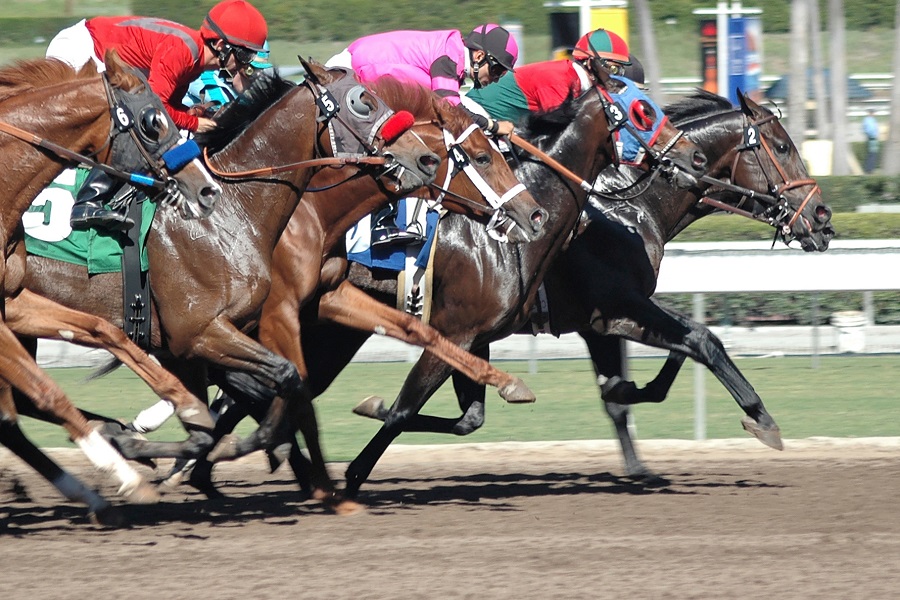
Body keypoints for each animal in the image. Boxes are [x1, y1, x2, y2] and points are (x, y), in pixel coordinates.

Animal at [0, 54, 221, 524]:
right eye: (154, 121)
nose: (206, 190)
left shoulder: (12, 300)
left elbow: (104, 330)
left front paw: (183, 403)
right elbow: (48, 393)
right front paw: (127, 475)